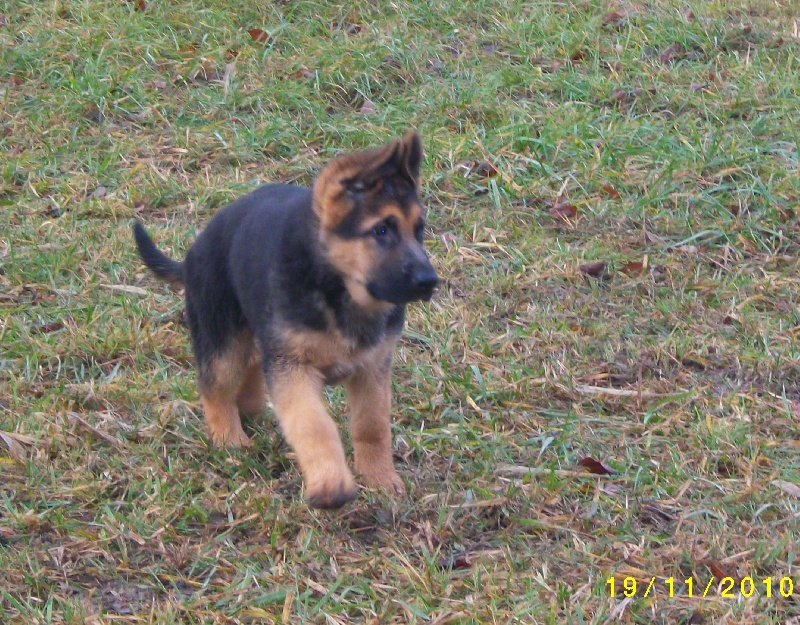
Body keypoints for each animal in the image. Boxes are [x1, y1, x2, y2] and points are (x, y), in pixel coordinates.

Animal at [133, 131, 438, 508]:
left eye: (419, 230)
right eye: (382, 230)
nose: (430, 281)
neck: (337, 289)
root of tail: (195, 249)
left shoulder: (372, 368)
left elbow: (372, 425)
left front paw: (379, 478)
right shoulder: (293, 368)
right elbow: (314, 425)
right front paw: (331, 484)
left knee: (252, 364)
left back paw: (247, 409)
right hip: (222, 339)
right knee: (214, 385)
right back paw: (228, 438)